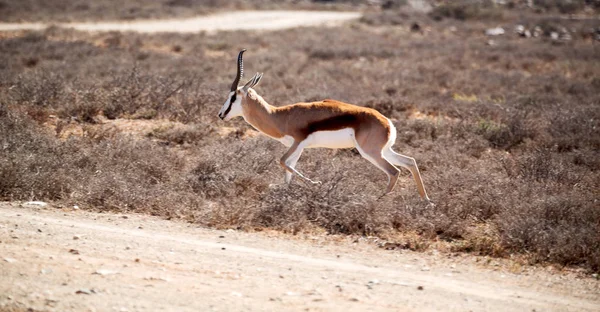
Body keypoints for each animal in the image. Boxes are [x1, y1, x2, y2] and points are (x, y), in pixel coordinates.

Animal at [218, 48, 428, 200]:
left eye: (233, 96)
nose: (221, 114)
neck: (279, 116)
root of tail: (388, 122)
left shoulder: (297, 142)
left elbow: (282, 162)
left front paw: (316, 184)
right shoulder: (298, 147)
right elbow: (288, 172)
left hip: (370, 152)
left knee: (394, 171)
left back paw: (375, 201)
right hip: (384, 150)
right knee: (410, 162)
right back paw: (426, 201)